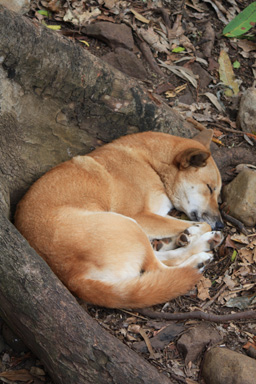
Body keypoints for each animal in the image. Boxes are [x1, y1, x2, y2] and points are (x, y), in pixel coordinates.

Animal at [15, 130, 224, 308]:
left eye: (217, 193)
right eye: (210, 188)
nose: (222, 224)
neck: (150, 162)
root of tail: (73, 279)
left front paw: (185, 236)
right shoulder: (140, 216)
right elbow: (202, 224)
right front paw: (193, 232)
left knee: (159, 259)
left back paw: (199, 244)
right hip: (128, 224)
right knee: (158, 268)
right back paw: (197, 257)